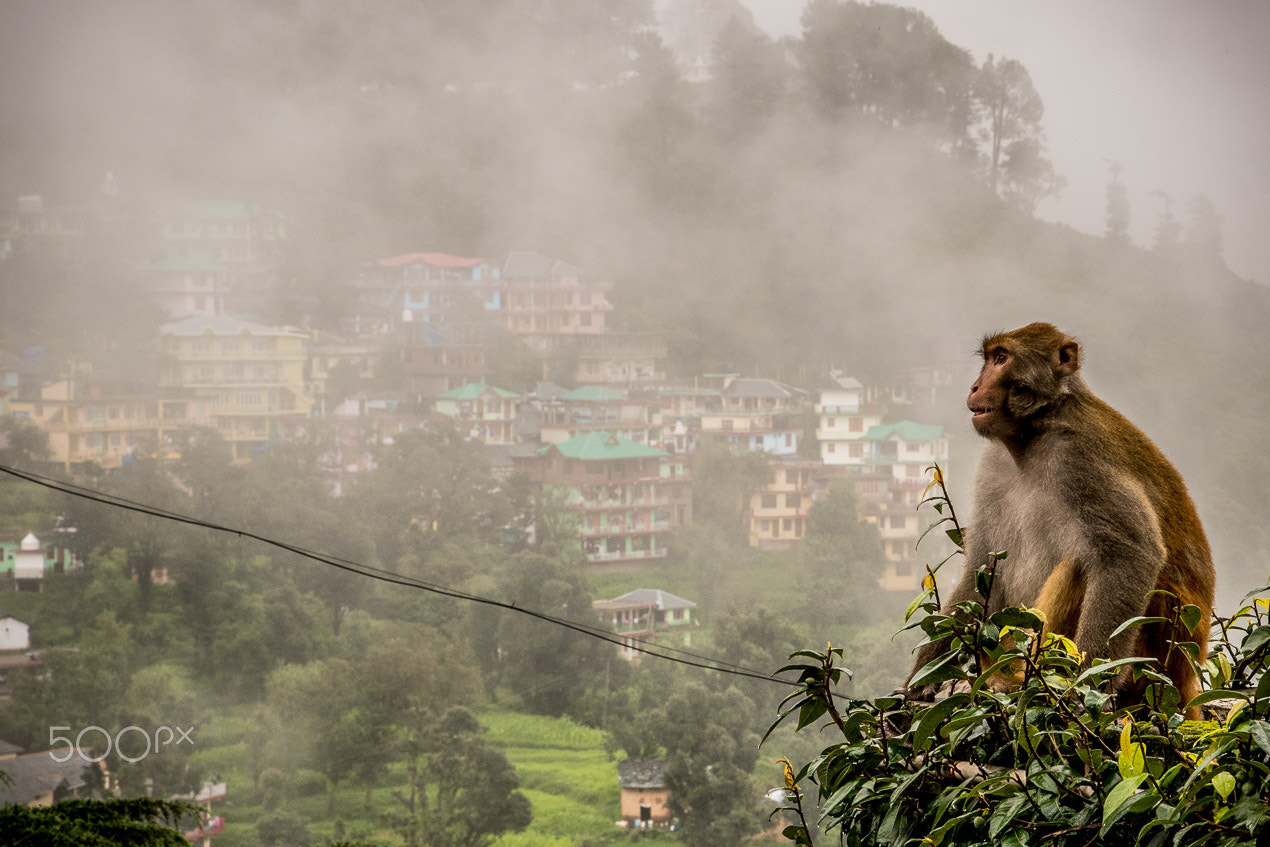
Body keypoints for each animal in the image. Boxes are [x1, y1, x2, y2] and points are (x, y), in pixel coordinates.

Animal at [904, 322, 1215, 715]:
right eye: (989, 358)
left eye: (1001, 358)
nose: (975, 386)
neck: (1034, 435)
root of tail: (1187, 676)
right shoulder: (993, 467)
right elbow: (980, 572)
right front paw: (921, 679)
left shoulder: (1079, 458)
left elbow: (1131, 555)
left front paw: (1086, 685)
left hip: (1159, 650)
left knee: (1085, 562)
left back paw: (1015, 679)